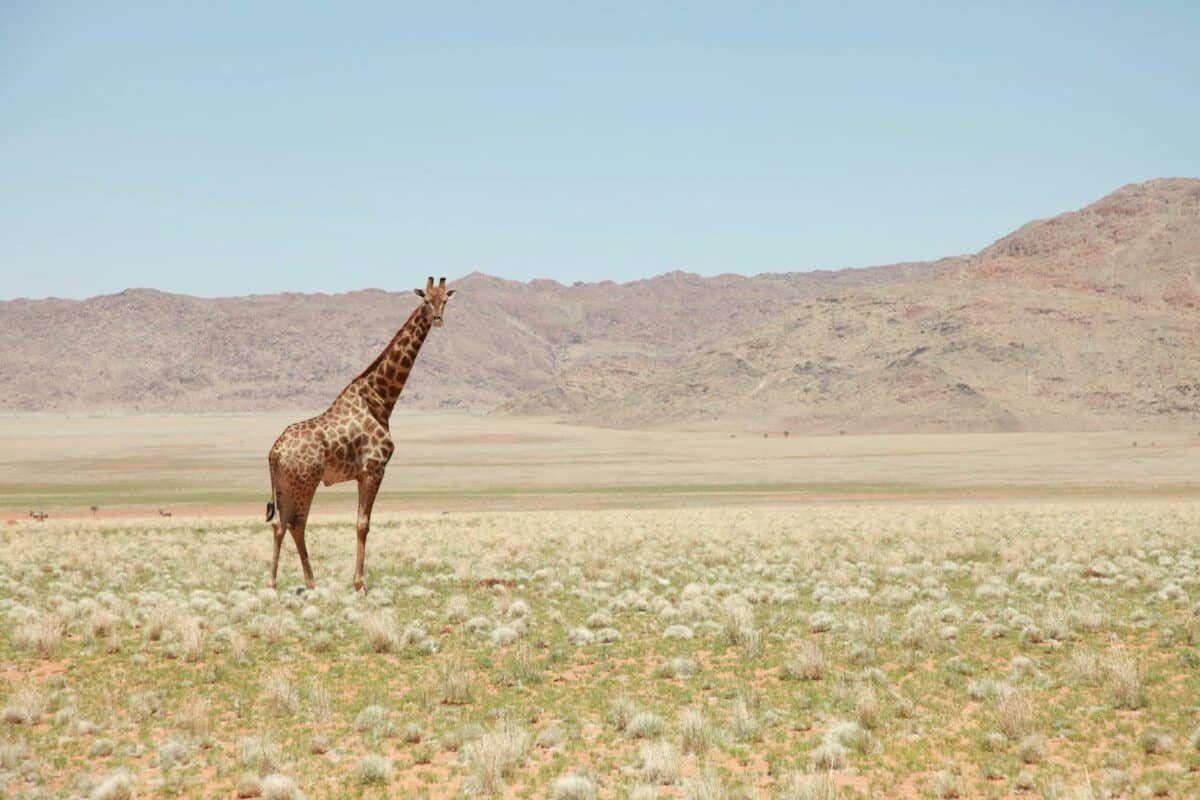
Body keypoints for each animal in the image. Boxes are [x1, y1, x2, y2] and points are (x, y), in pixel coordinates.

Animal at [265, 276, 456, 592]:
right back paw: (307, 581)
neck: (380, 398)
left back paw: (276, 583)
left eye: (445, 300)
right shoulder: (373, 469)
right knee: (296, 523)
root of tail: (274, 451)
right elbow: (363, 524)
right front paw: (359, 584)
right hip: (305, 482)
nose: (438, 319)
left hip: (284, 484)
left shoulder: (362, 474)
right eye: (427, 300)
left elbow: (361, 522)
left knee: (280, 524)